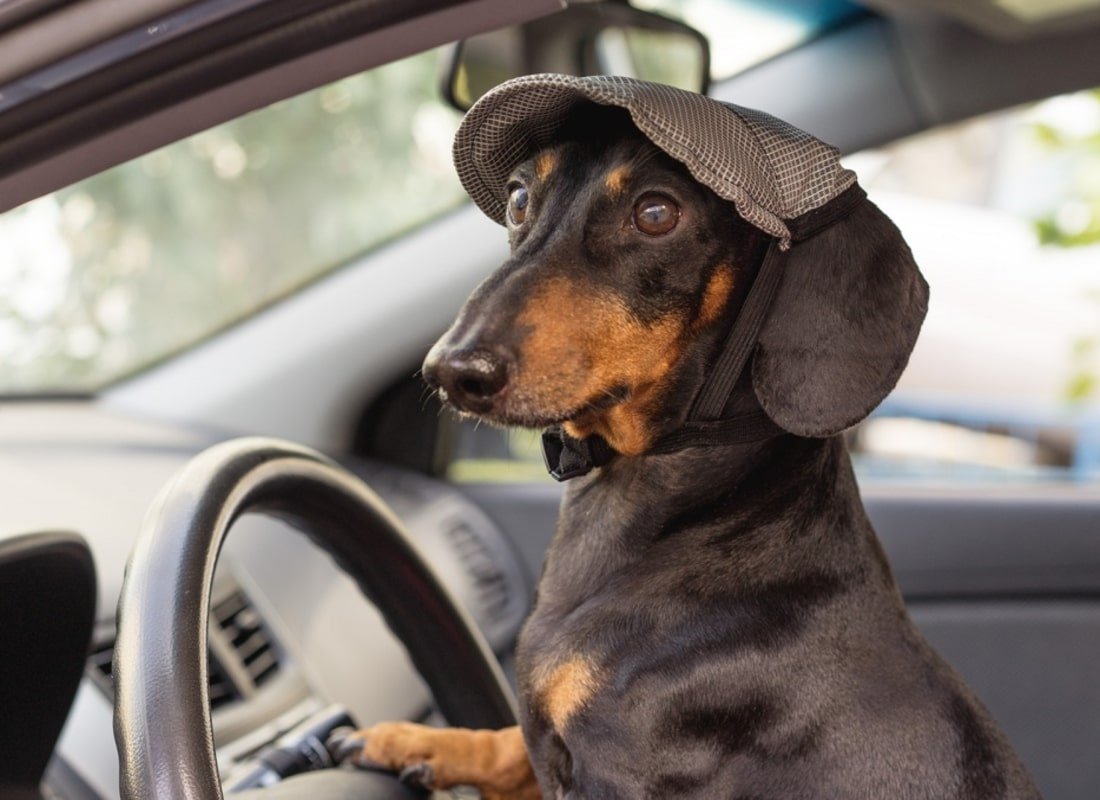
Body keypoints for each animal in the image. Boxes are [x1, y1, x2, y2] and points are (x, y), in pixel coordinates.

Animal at [345, 79, 1038, 796]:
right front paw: (416, 739)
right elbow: (510, 742)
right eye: (516, 198)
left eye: (655, 212)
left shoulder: (618, 770)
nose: (450, 370)